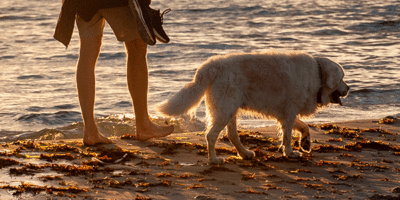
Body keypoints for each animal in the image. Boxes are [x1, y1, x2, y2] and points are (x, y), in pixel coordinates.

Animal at [158, 50, 348, 164]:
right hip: (225, 109)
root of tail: (211, 65)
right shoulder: (289, 112)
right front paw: (290, 153)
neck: (317, 75)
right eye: (342, 78)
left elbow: (303, 126)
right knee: (211, 135)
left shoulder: (285, 113)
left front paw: (306, 143)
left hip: (229, 109)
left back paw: (245, 154)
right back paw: (214, 160)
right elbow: (287, 137)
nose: (349, 89)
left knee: (232, 135)